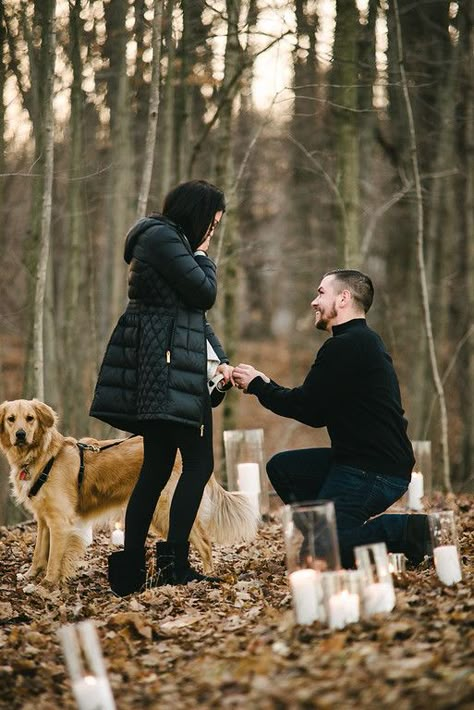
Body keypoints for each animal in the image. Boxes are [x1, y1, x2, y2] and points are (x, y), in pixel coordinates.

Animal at [0, 400, 260, 588]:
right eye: (11, 419)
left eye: (30, 418)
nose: (20, 434)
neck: (42, 456)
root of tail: (181, 454)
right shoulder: (44, 518)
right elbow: (39, 552)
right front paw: (31, 575)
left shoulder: (60, 520)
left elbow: (54, 556)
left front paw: (48, 583)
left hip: (166, 508)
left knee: (205, 543)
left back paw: (205, 575)